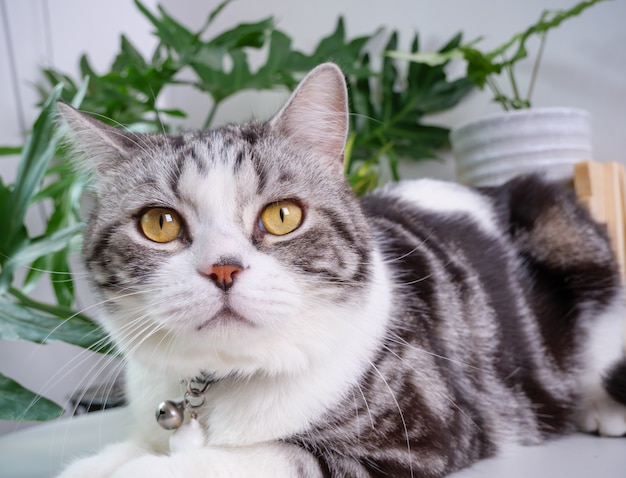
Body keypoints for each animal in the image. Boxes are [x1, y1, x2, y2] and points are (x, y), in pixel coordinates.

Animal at [57, 63, 624, 478]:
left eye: (282, 216)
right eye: (159, 223)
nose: (223, 269)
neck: (216, 387)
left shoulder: (419, 434)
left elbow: (251, 458)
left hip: (561, 231)